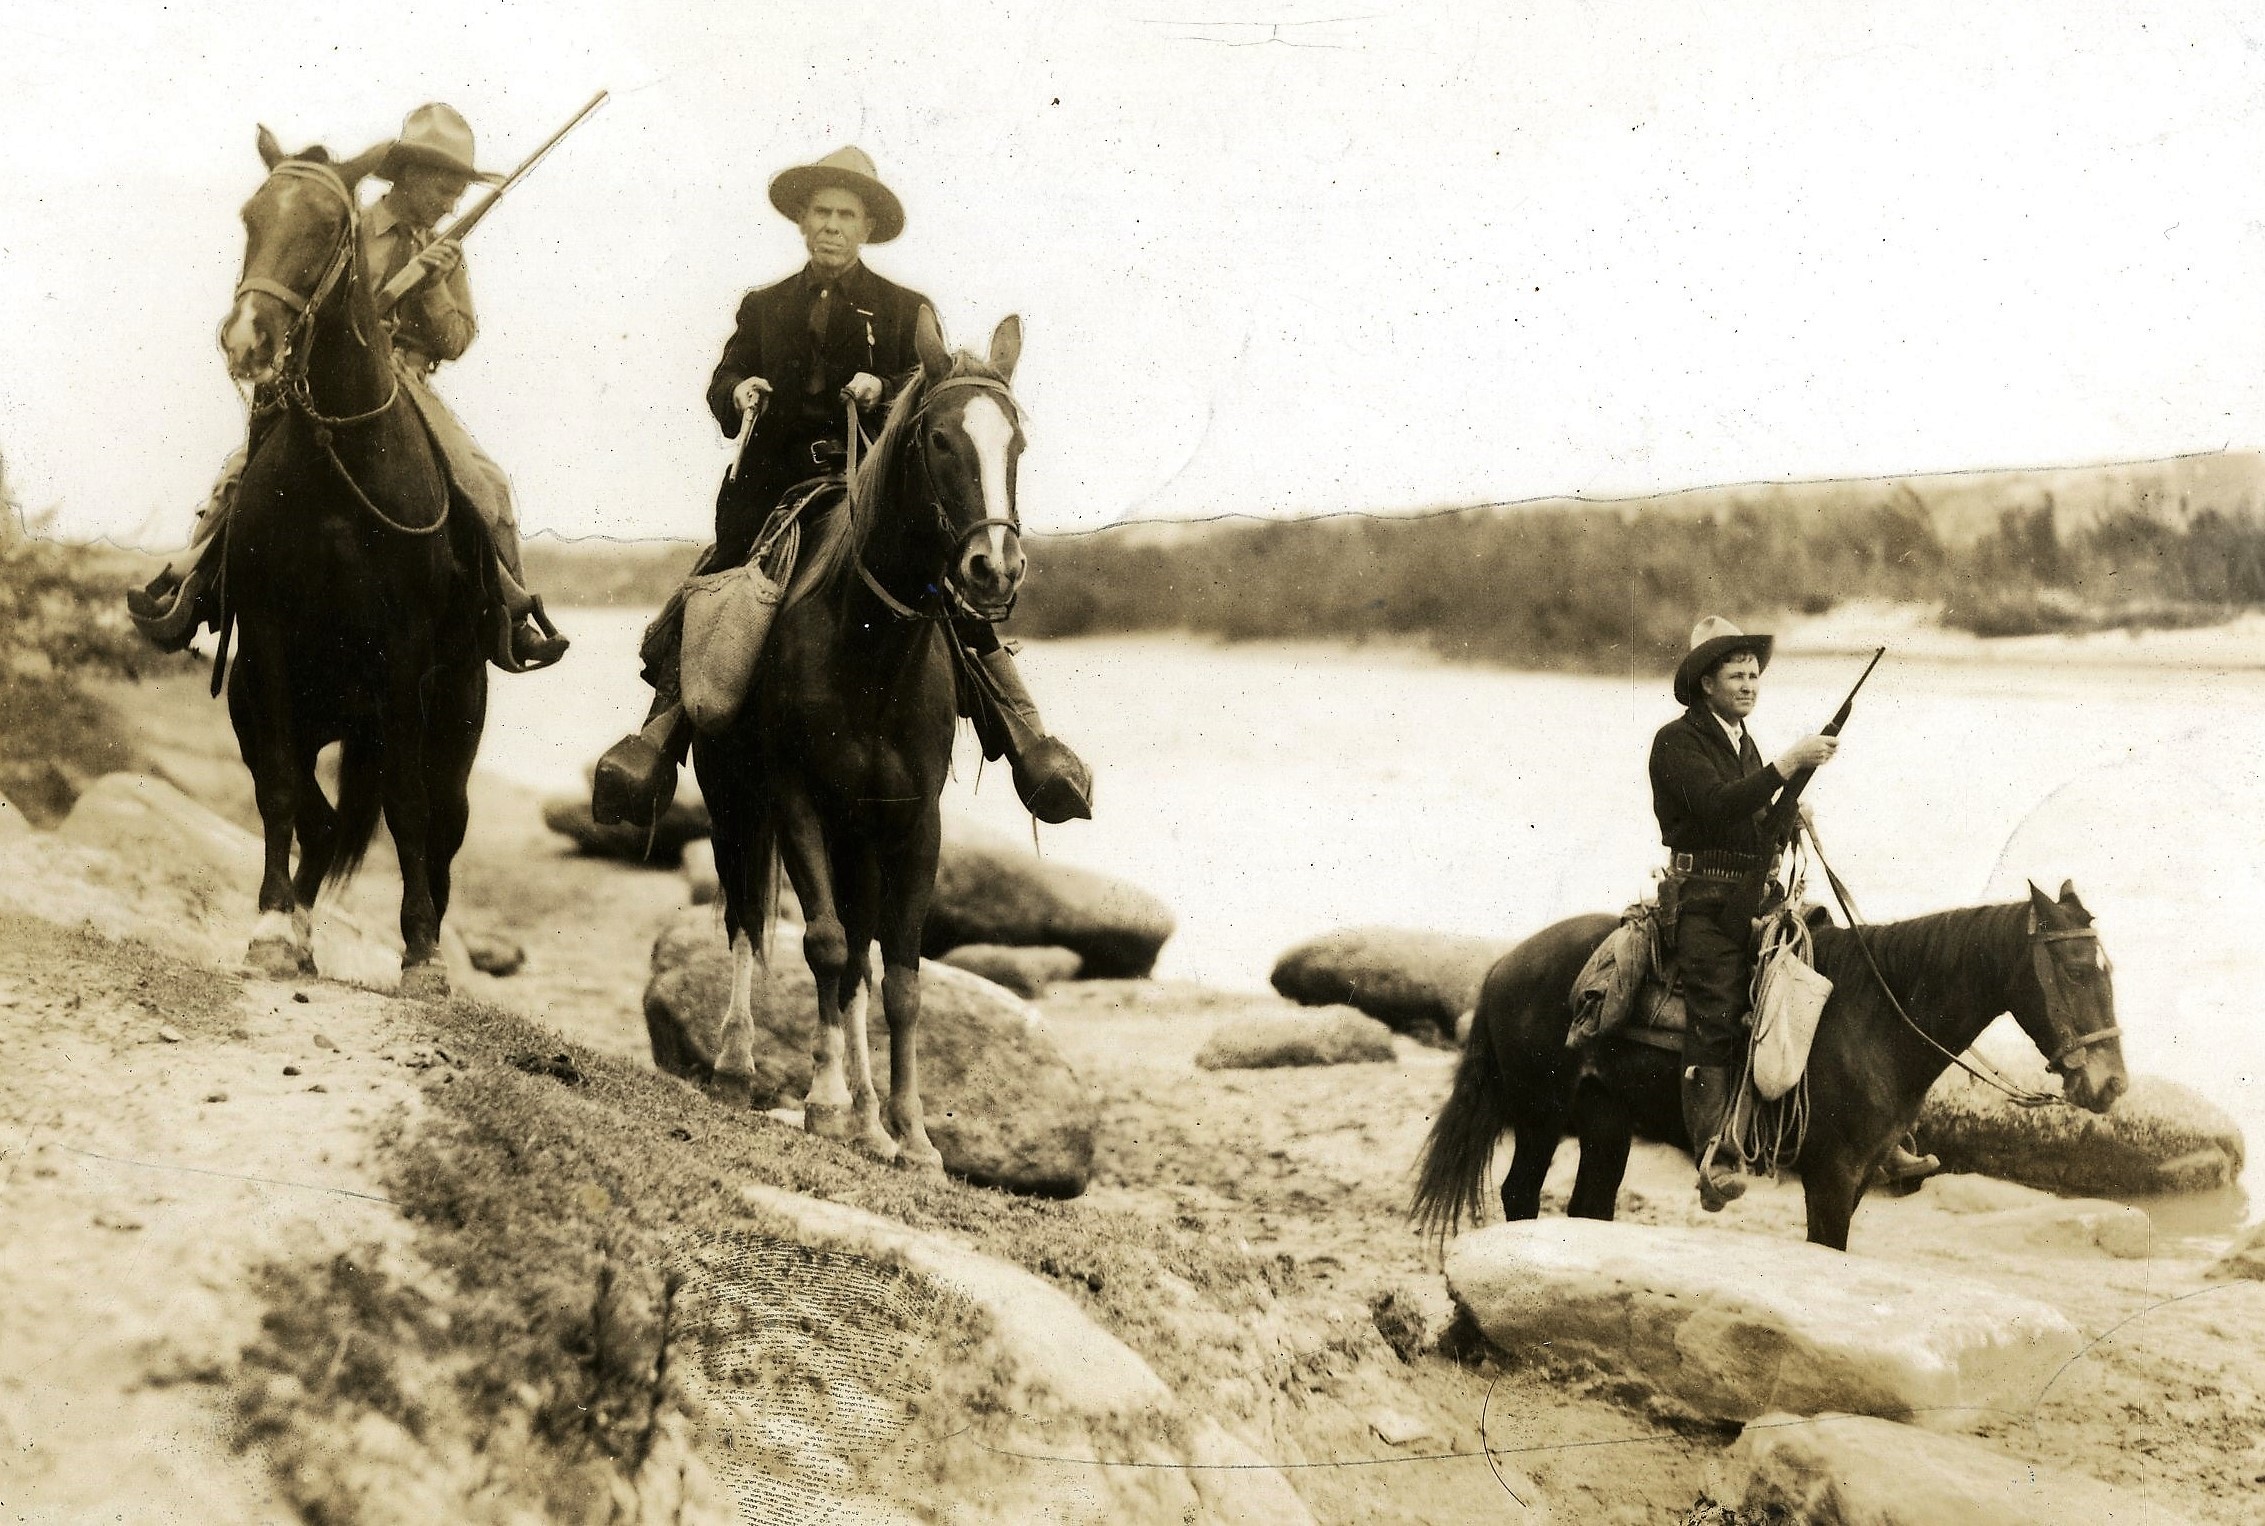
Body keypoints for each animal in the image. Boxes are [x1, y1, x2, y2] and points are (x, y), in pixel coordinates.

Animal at [212, 133, 496, 996]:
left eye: (328, 228)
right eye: (252, 217)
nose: (247, 338)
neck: (339, 462)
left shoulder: (403, 657)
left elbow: (407, 807)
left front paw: (423, 954)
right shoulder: (267, 644)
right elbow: (280, 789)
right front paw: (274, 930)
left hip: (454, 717)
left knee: (441, 825)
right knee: (321, 815)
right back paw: (300, 925)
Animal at [1404, 878, 2129, 1249]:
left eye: (2108, 968)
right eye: (2073, 969)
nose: (2112, 1085)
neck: (1873, 1015)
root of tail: (1504, 964)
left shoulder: (1859, 1174)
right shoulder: (1831, 1175)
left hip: (1605, 1127)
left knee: (1588, 1209)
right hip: (1540, 1117)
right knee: (1519, 1195)